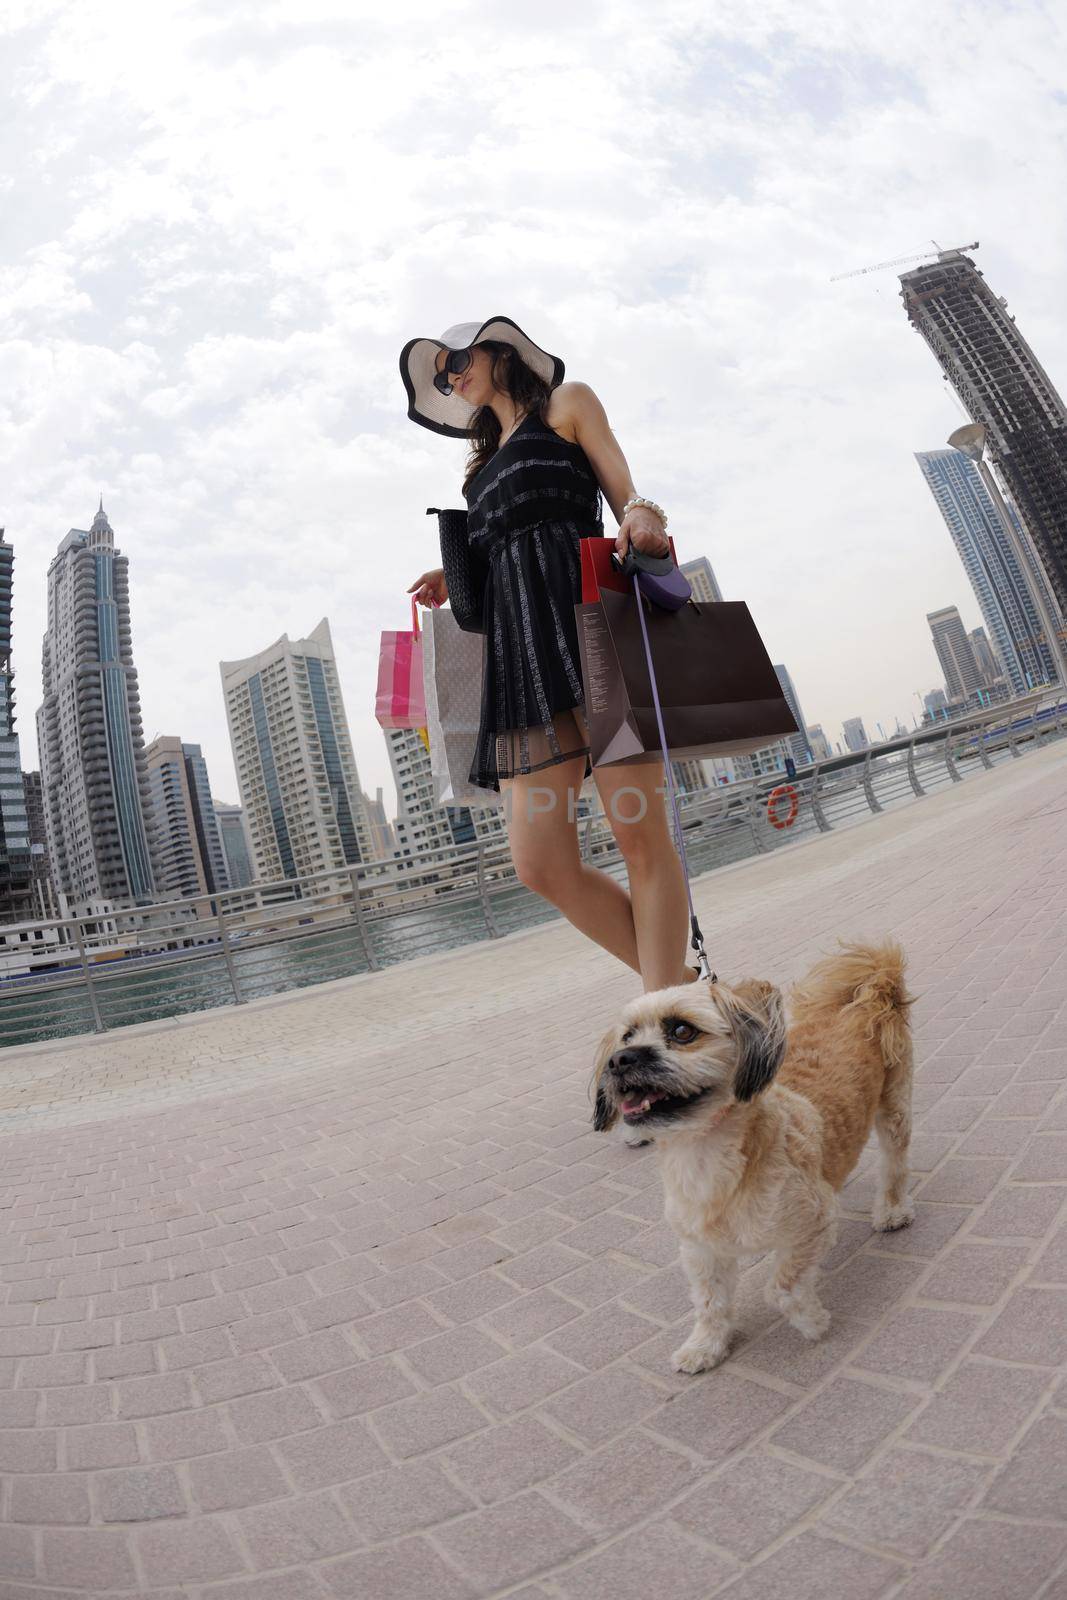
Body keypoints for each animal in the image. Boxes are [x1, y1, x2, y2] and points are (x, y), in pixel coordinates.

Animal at [588, 934, 915, 1376]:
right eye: (626, 1037)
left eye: (682, 1030)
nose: (620, 1061)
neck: (704, 1159)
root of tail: (870, 991)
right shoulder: (701, 1251)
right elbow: (709, 1303)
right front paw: (705, 1346)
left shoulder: (812, 1224)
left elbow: (781, 1288)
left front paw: (812, 1322)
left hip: (895, 1108)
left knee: (894, 1164)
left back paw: (892, 1211)